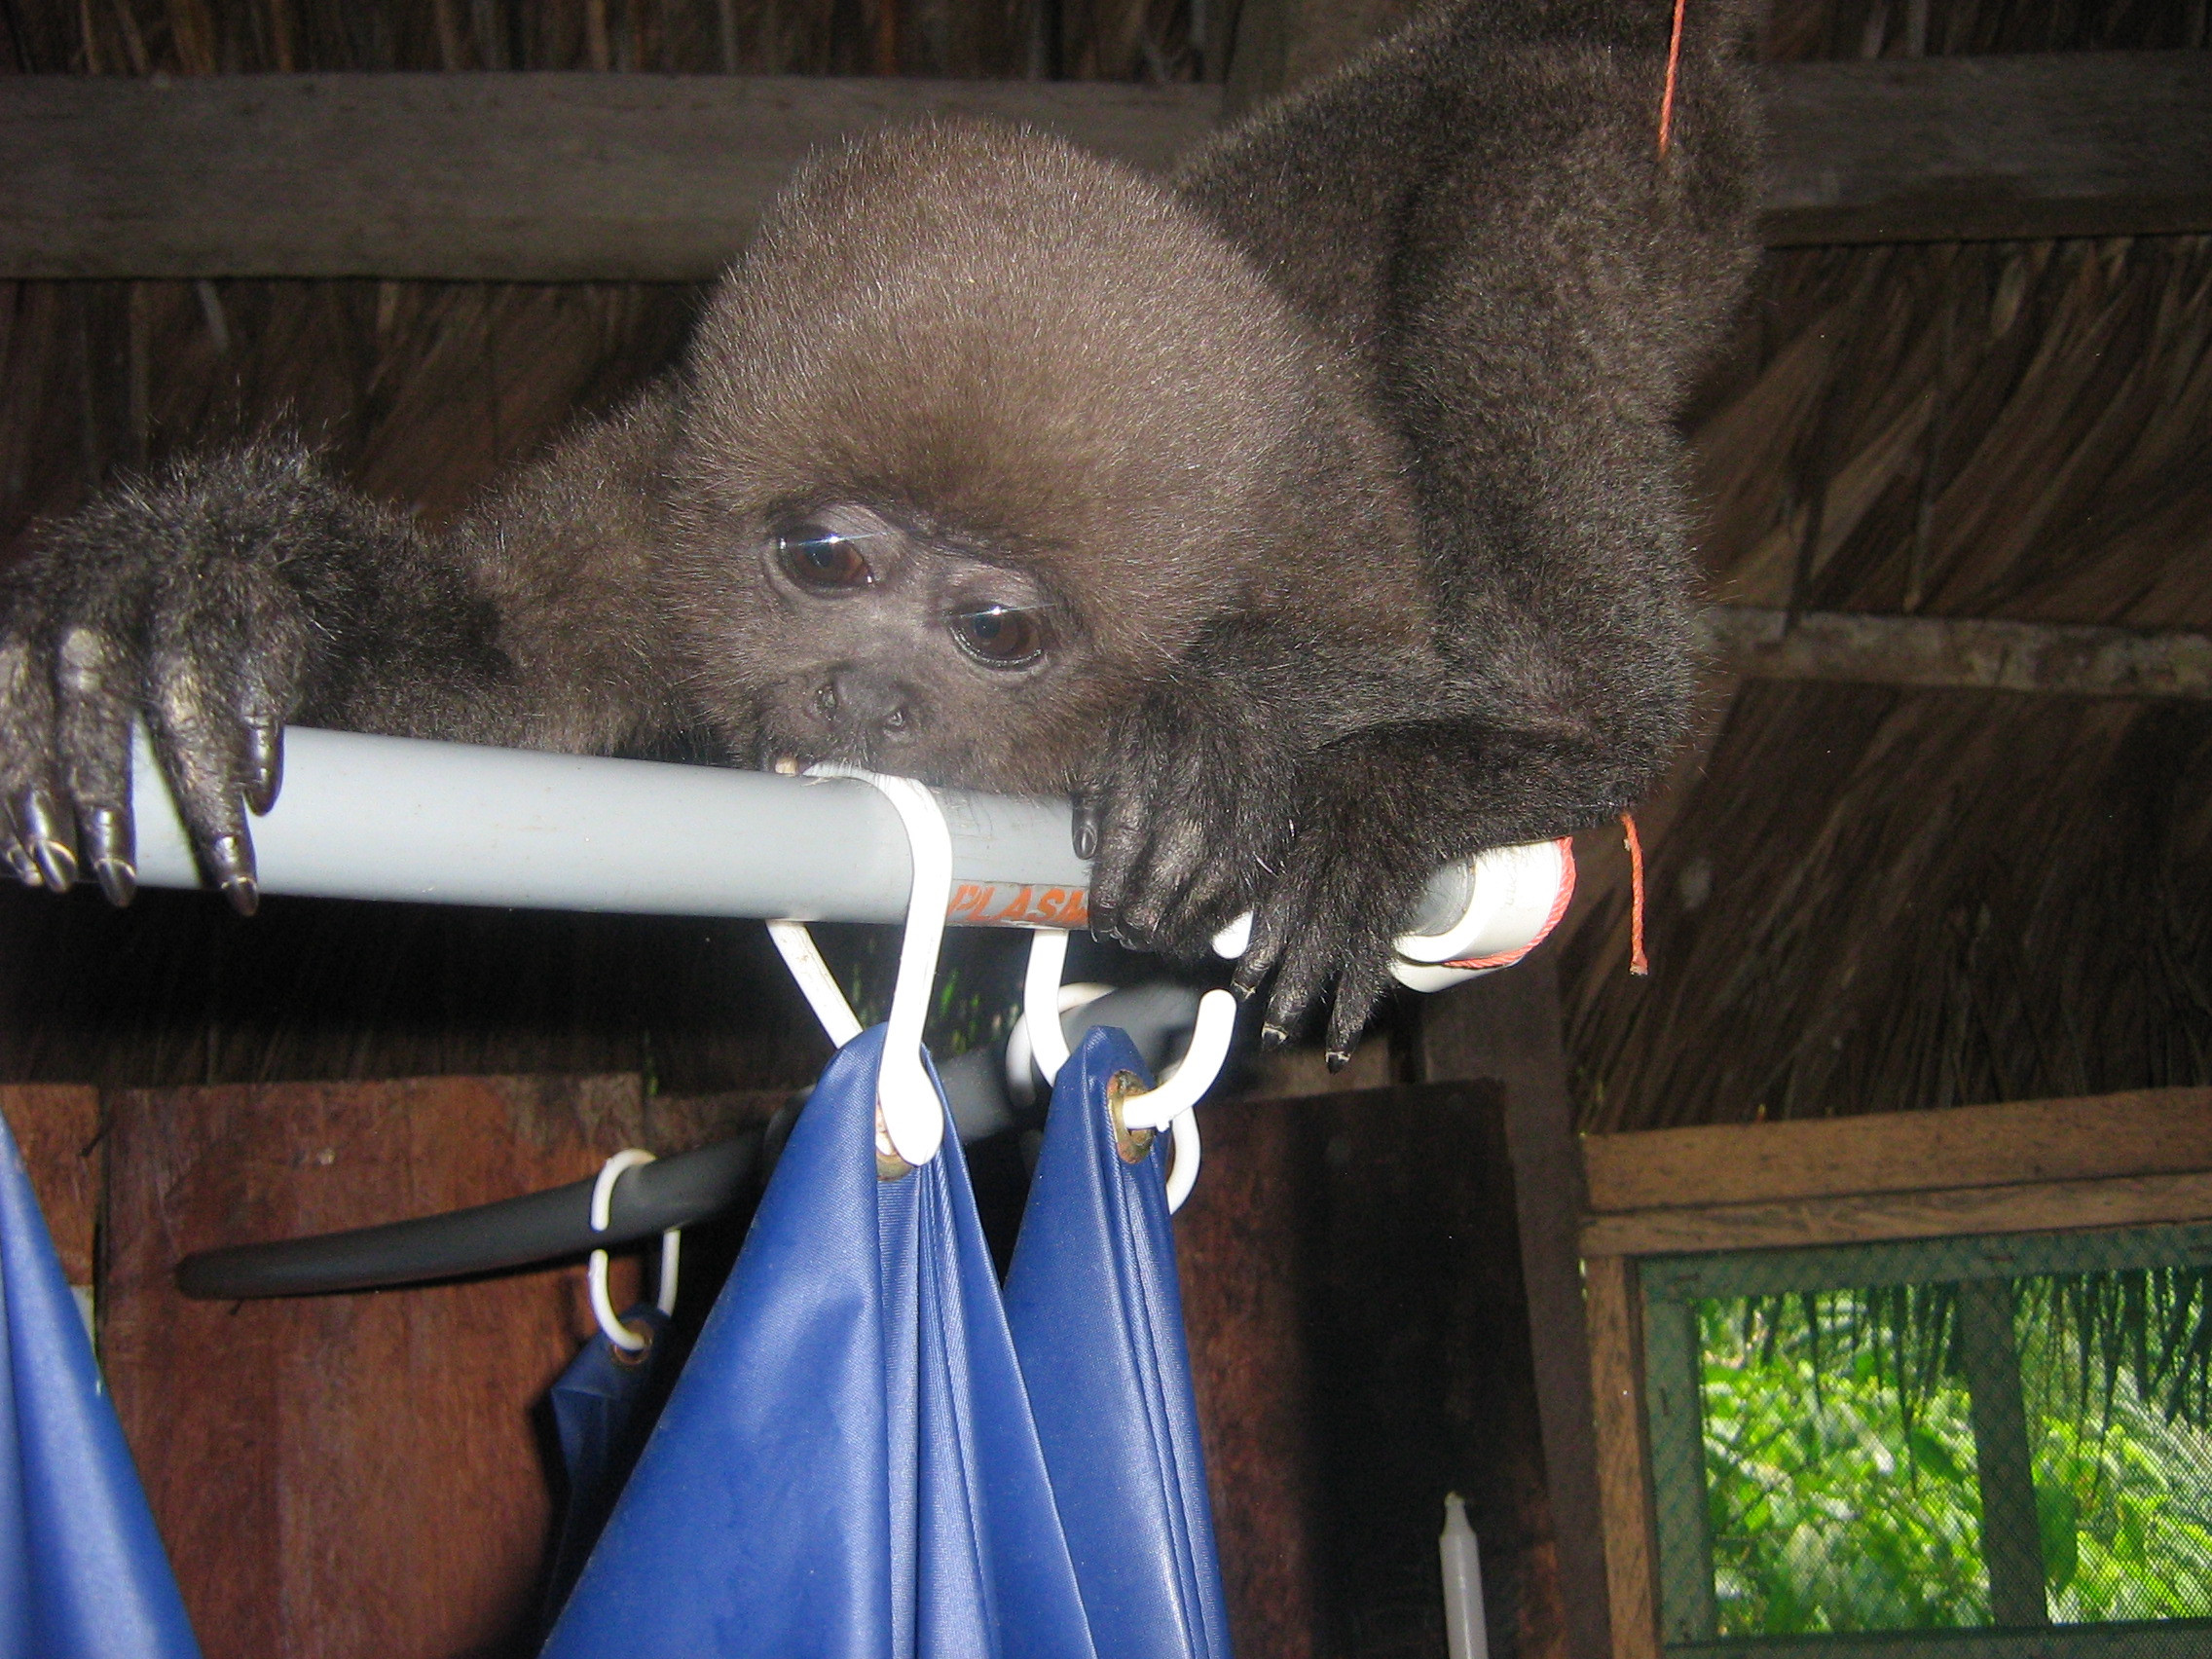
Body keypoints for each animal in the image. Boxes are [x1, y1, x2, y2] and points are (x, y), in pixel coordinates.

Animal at [4, 0, 1760, 1066]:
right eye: (827, 563)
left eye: (994, 631)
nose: (861, 689)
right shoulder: (667, 496)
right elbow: (495, 682)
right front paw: (223, 590)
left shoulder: (1316, 529)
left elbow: (1448, 655)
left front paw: (1222, 727)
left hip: (1587, 158)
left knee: (1549, 549)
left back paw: (1493, 755)